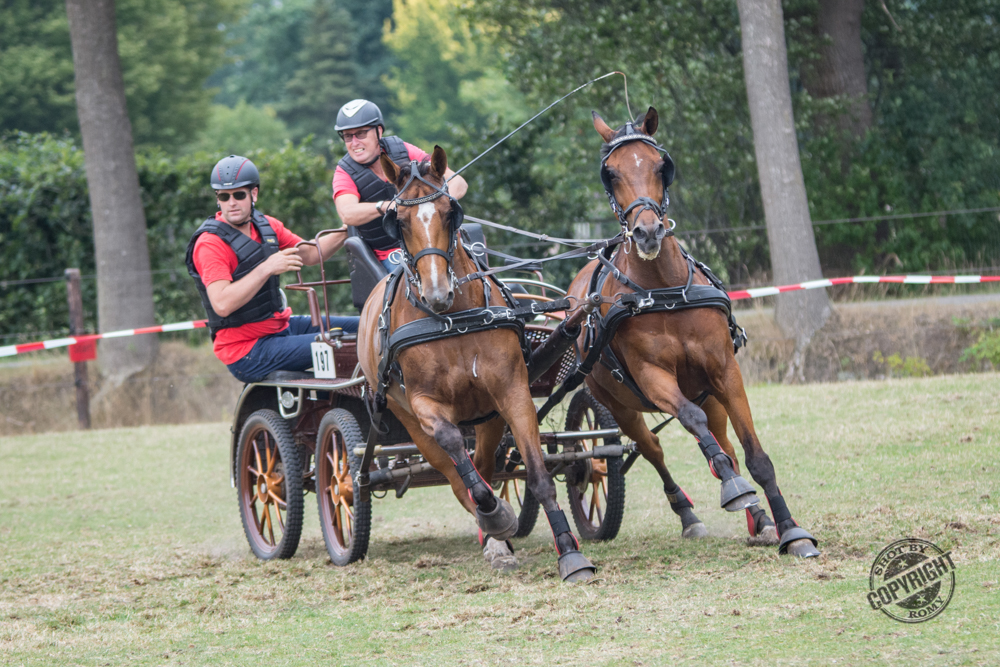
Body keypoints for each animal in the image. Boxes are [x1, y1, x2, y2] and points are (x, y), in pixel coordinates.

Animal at [356, 146, 597, 580]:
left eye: (449, 211)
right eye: (399, 221)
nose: (437, 293)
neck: (452, 321)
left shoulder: (511, 392)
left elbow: (538, 474)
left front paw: (570, 553)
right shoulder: (424, 405)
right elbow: (454, 449)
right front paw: (495, 517)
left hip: (486, 417)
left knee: (484, 465)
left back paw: (498, 537)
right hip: (407, 420)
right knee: (457, 477)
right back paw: (493, 525)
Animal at [565, 107, 819, 557]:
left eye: (660, 165)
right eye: (610, 174)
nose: (648, 232)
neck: (665, 291)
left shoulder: (724, 372)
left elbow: (754, 455)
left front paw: (790, 528)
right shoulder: (652, 377)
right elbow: (690, 419)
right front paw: (734, 490)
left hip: (708, 391)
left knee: (724, 443)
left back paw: (759, 517)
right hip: (617, 404)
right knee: (652, 448)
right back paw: (687, 513)